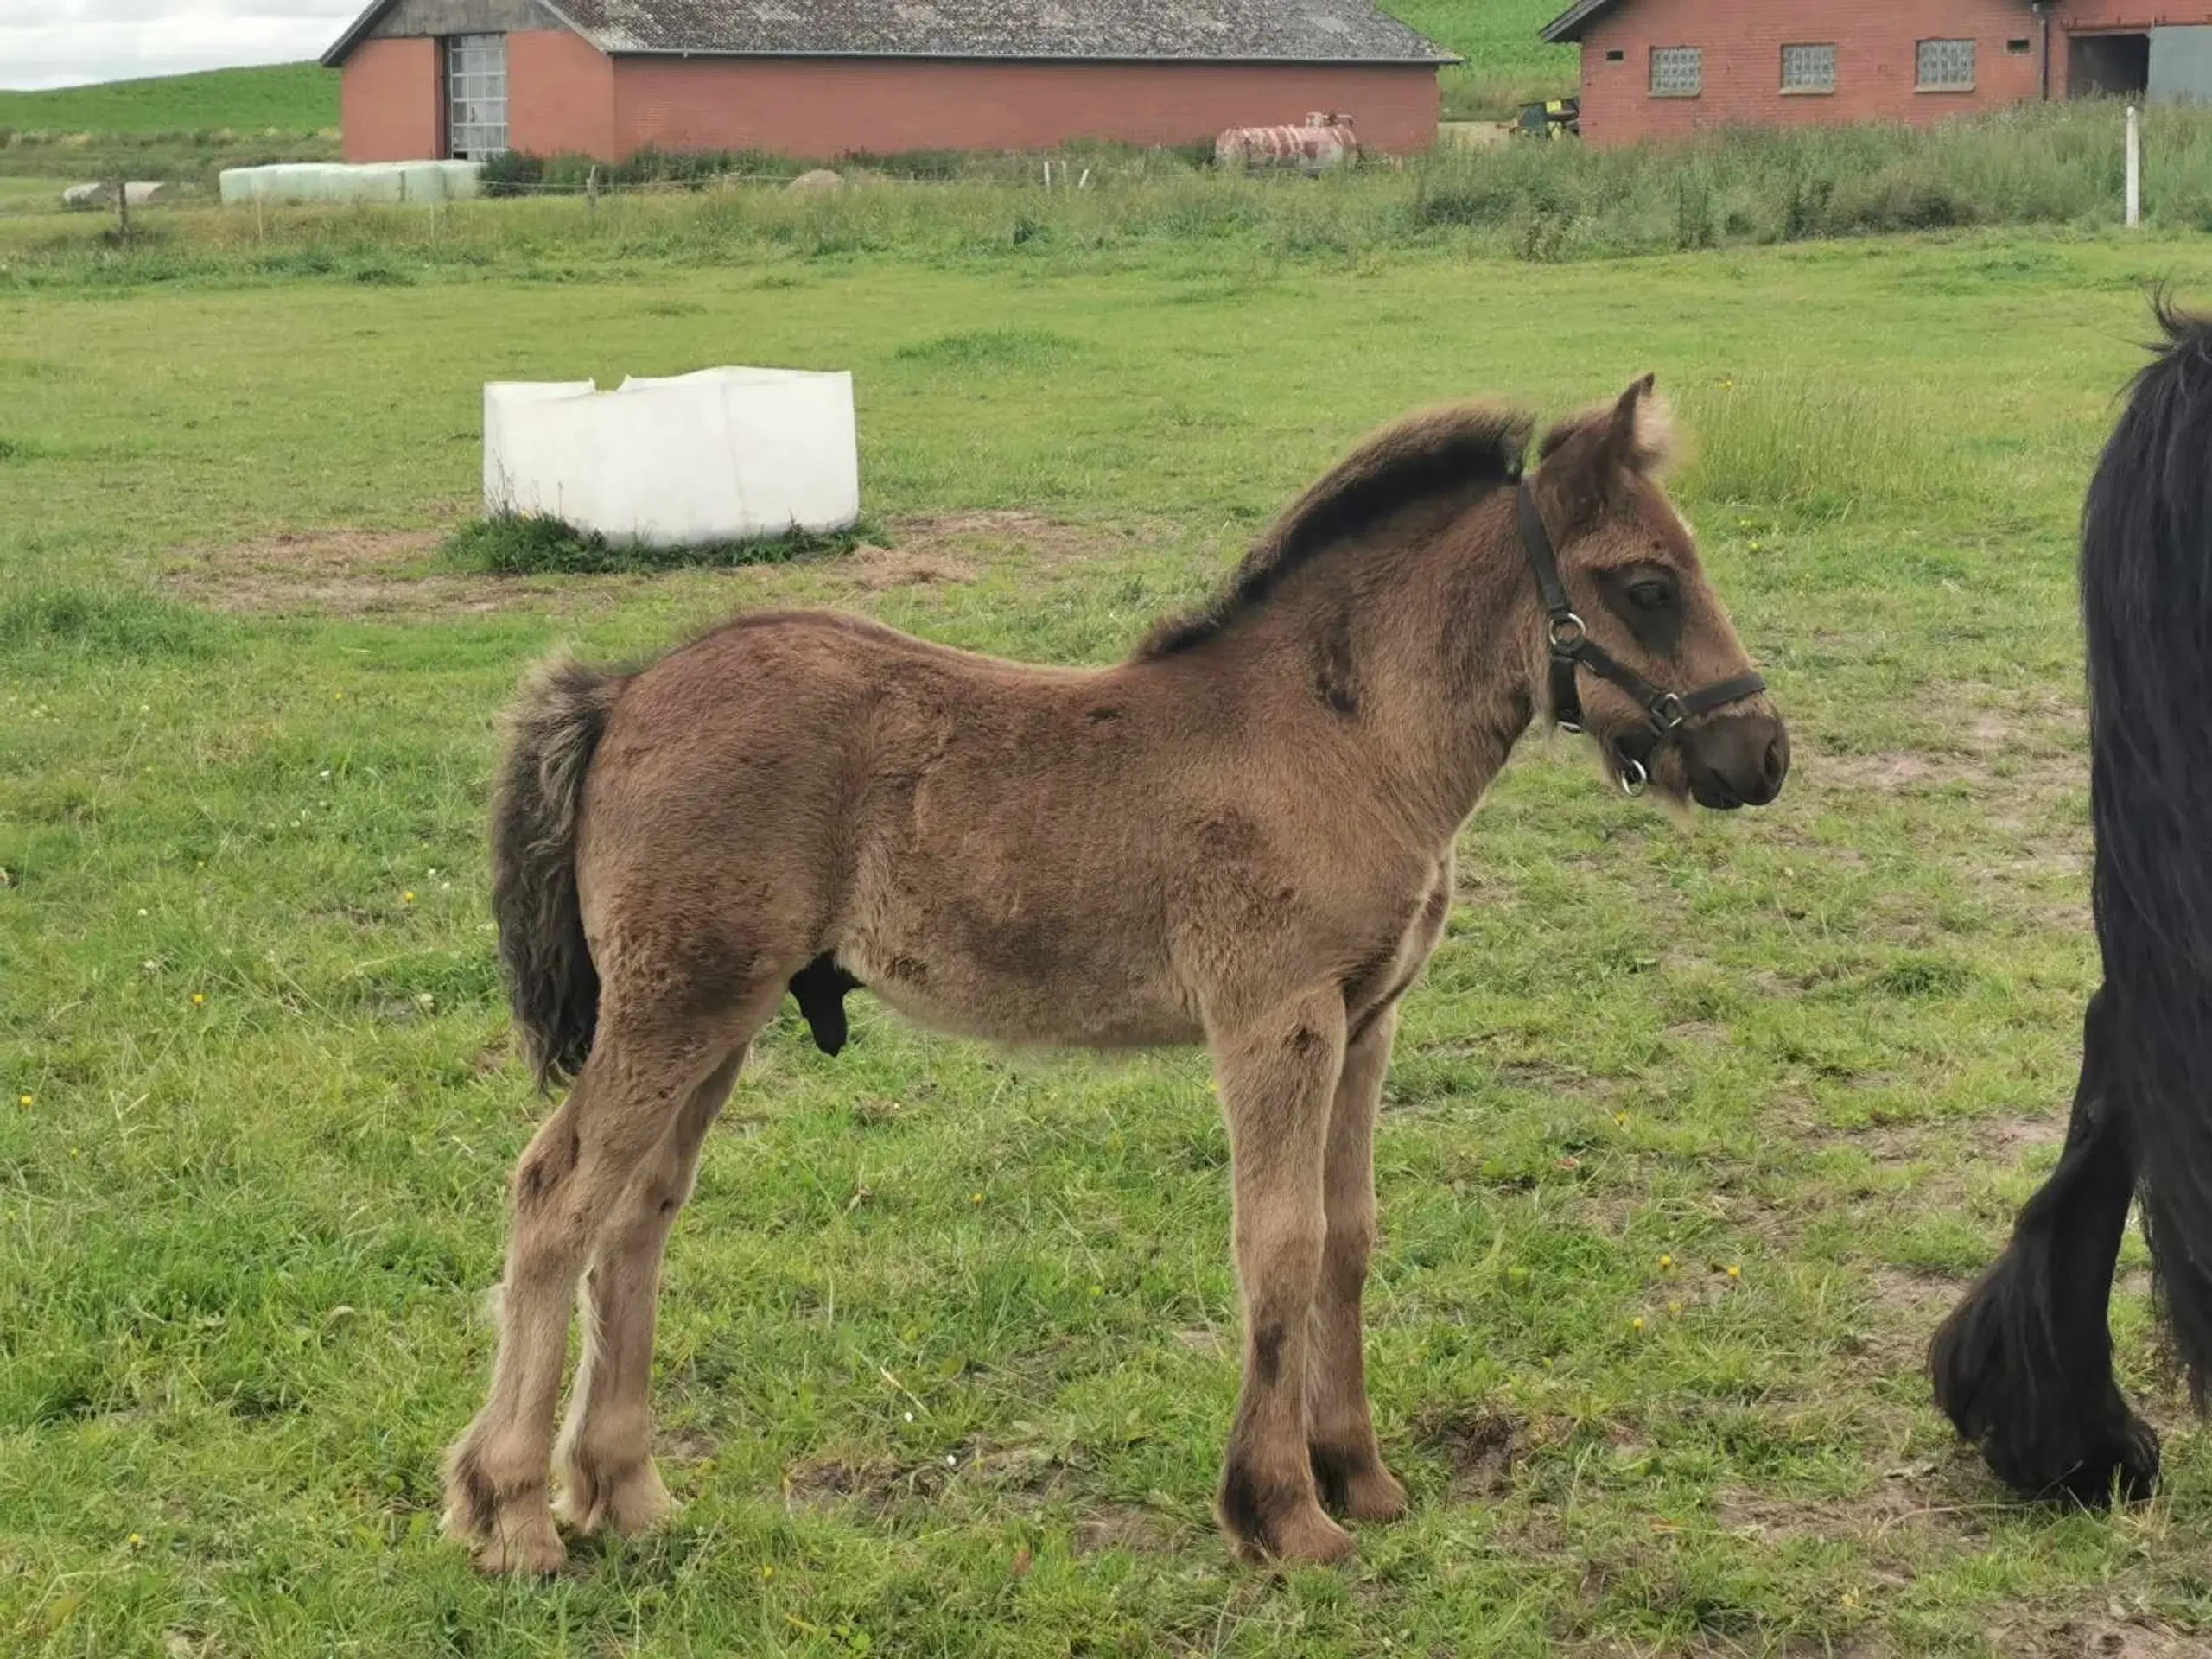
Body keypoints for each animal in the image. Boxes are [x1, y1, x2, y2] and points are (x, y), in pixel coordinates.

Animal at [440, 376, 1787, 1574]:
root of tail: (624, 690)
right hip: (675, 1007)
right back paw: (509, 1515)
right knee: (555, 1195)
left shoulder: (1369, 1023)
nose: (1760, 754)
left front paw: (1361, 1474)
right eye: (1647, 584)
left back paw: (621, 1495)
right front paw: (1282, 1514)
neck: (1339, 737)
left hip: (717, 1015)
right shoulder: (1275, 1022)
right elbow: (1278, 1244)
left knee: (638, 1212)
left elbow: (1349, 1237)